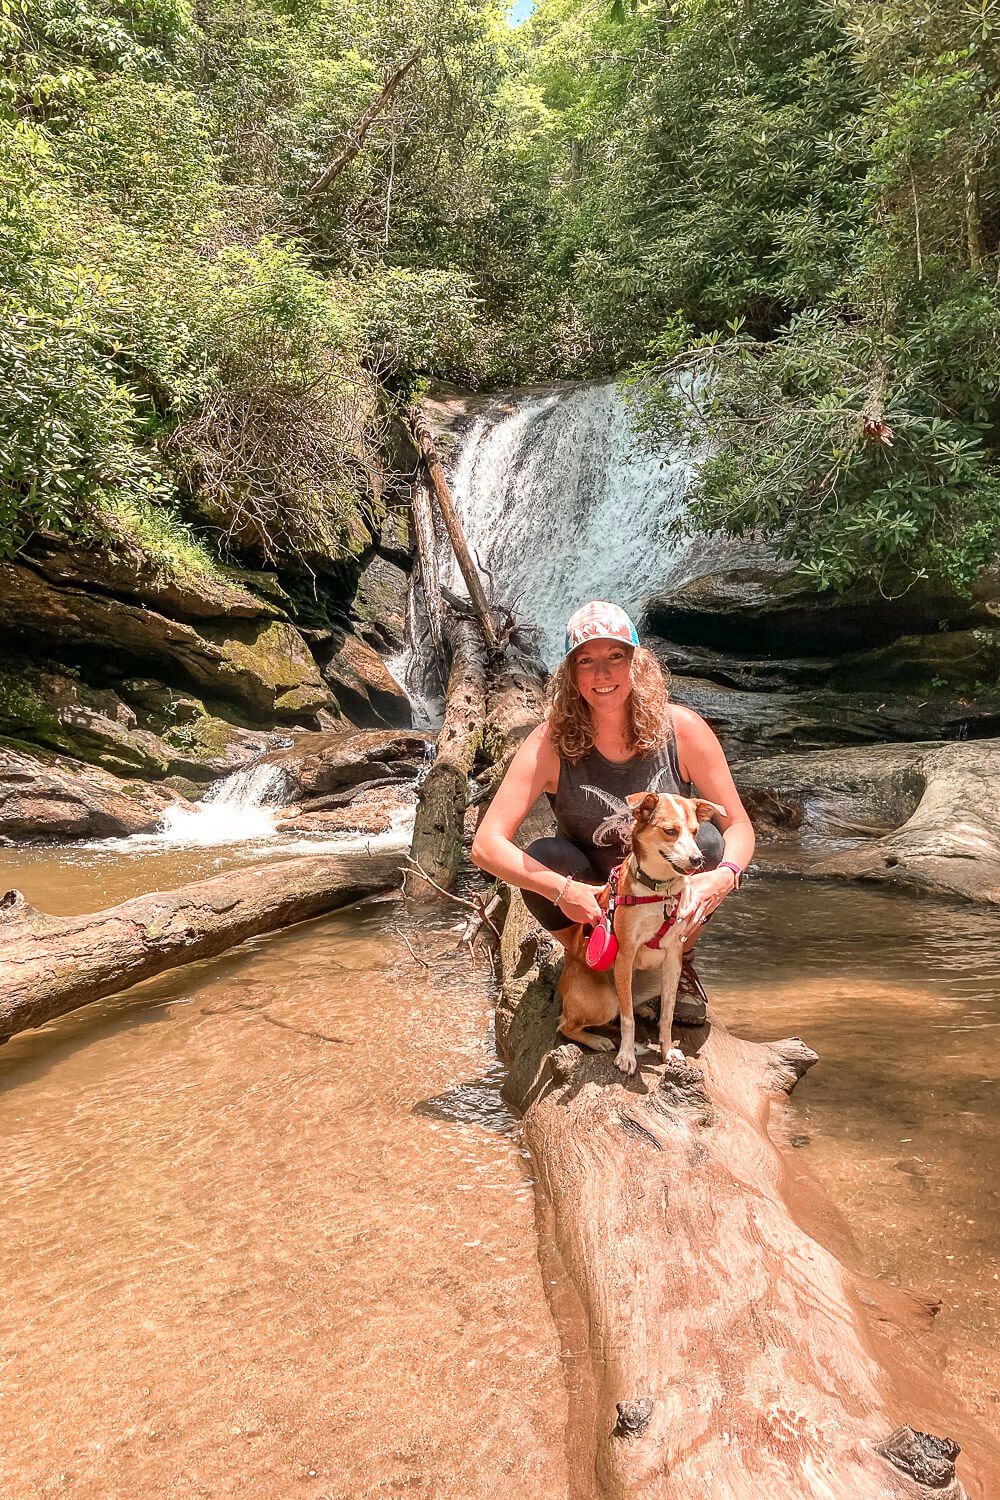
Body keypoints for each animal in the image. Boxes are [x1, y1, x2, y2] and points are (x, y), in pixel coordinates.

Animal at [554, 792, 728, 1074]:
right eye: (670, 831)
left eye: (695, 832)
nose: (697, 860)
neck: (659, 890)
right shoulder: (625, 956)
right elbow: (627, 1021)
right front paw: (627, 1055)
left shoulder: (673, 958)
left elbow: (667, 1014)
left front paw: (667, 1051)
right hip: (605, 1000)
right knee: (568, 1024)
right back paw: (598, 1040)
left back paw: (642, 1010)